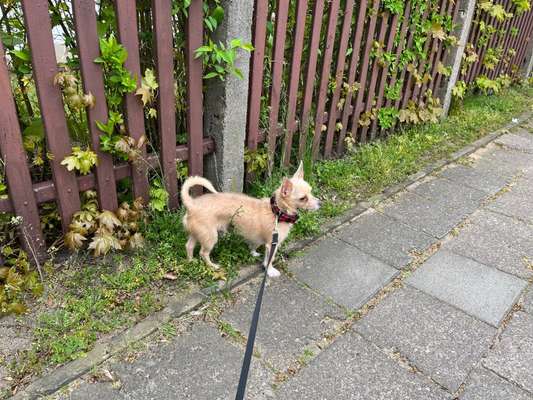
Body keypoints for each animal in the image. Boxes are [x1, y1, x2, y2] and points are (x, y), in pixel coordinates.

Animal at [181, 161, 318, 276]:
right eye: (303, 198)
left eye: (311, 191)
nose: (320, 202)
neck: (277, 212)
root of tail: (192, 204)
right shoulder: (272, 244)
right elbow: (270, 259)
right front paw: (270, 271)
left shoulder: (257, 238)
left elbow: (254, 245)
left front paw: (253, 253)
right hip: (210, 237)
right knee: (203, 253)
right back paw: (212, 266)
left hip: (197, 233)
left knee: (189, 246)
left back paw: (191, 261)